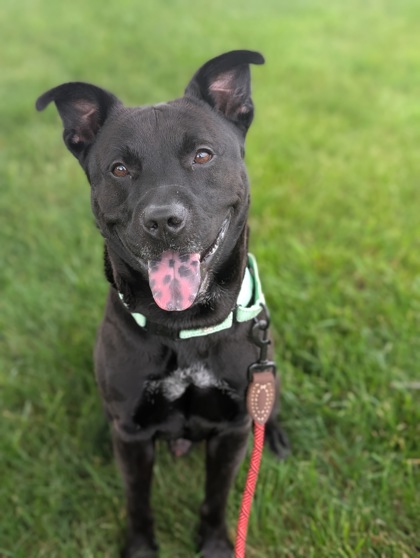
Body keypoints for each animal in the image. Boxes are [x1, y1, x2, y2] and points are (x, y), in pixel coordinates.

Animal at [36, 50, 288, 558]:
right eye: (119, 169)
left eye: (202, 155)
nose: (164, 221)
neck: (183, 327)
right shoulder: (133, 436)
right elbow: (138, 502)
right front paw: (139, 548)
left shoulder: (233, 430)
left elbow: (216, 496)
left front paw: (215, 545)